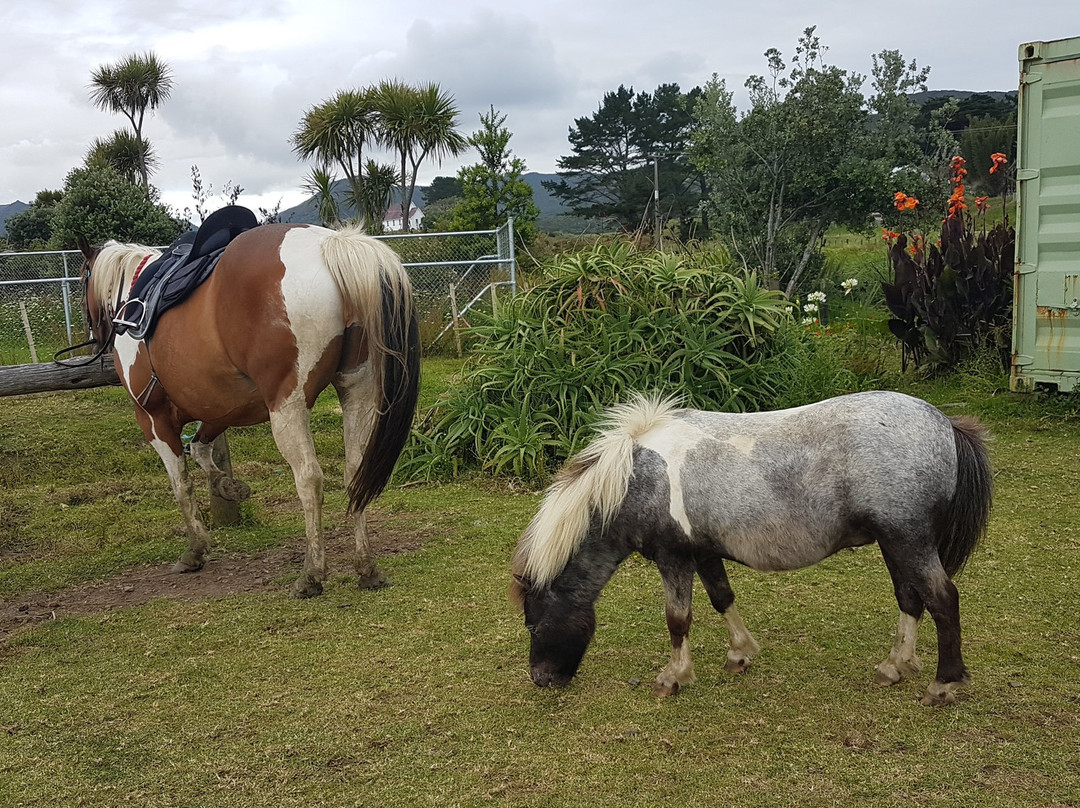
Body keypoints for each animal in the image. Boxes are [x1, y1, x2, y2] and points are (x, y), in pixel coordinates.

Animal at [76, 223, 419, 596]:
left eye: (82, 283)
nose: (96, 338)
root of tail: (331, 244)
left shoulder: (153, 419)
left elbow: (182, 484)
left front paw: (195, 550)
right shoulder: (220, 408)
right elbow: (201, 450)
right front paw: (228, 486)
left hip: (287, 407)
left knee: (309, 479)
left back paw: (311, 574)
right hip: (357, 392)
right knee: (355, 473)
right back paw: (367, 568)